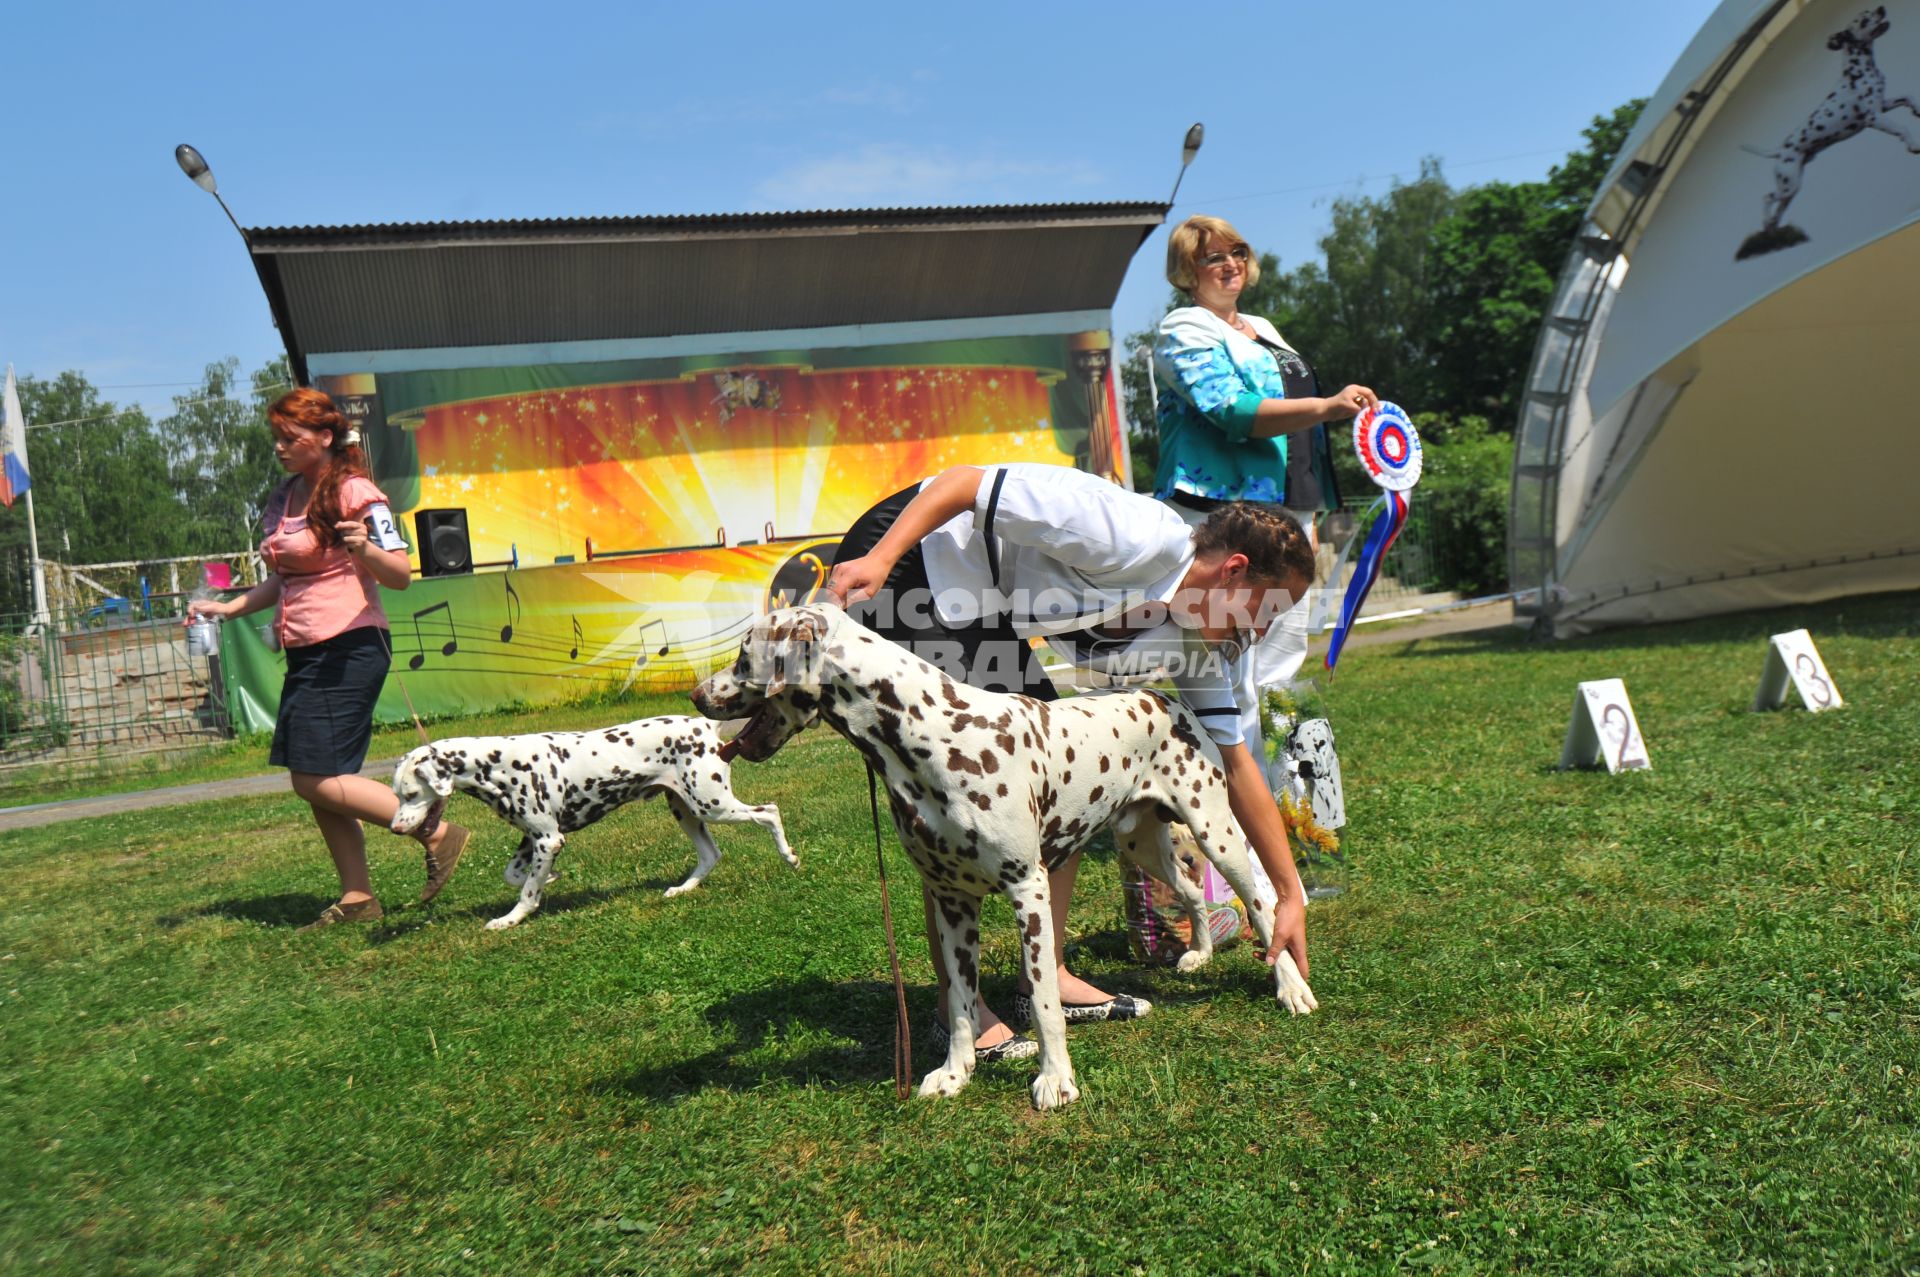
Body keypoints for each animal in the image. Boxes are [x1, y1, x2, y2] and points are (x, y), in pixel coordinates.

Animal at [389, 718, 794, 925]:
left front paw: (511, 919)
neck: (498, 763)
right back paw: (682, 889)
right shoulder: (534, 839)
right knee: (711, 855)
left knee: (769, 811)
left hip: (712, 805)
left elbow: (526, 893)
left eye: (409, 793)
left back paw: (789, 856)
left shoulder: (548, 839)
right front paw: (551, 877)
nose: (394, 828)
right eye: (396, 793)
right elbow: (515, 876)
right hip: (686, 810)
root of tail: (707, 723)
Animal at [695, 602, 1320, 1113]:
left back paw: (1290, 988)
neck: (931, 733)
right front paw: (956, 1073)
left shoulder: (1028, 889)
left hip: (1217, 833)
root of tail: (1163, 696)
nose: (698, 695)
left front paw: (1056, 1080)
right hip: (1142, 844)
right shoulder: (951, 902)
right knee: (1192, 892)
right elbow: (960, 1006)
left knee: (1265, 905)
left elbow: (1043, 1001)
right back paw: (1199, 954)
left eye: (743, 652)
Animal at [1743, 6, 1920, 253]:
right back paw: (1766, 223)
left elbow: (1909, 97)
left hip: (1792, 188)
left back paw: (1772, 230)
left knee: (1777, 210)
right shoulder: (1874, 117)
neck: (1860, 70)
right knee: (1767, 197)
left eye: (1869, 11)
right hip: (1787, 185)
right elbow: (1902, 128)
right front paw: (1913, 145)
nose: (1881, 8)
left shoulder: (1883, 104)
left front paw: (1917, 110)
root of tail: (1779, 150)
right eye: (1863, 19)